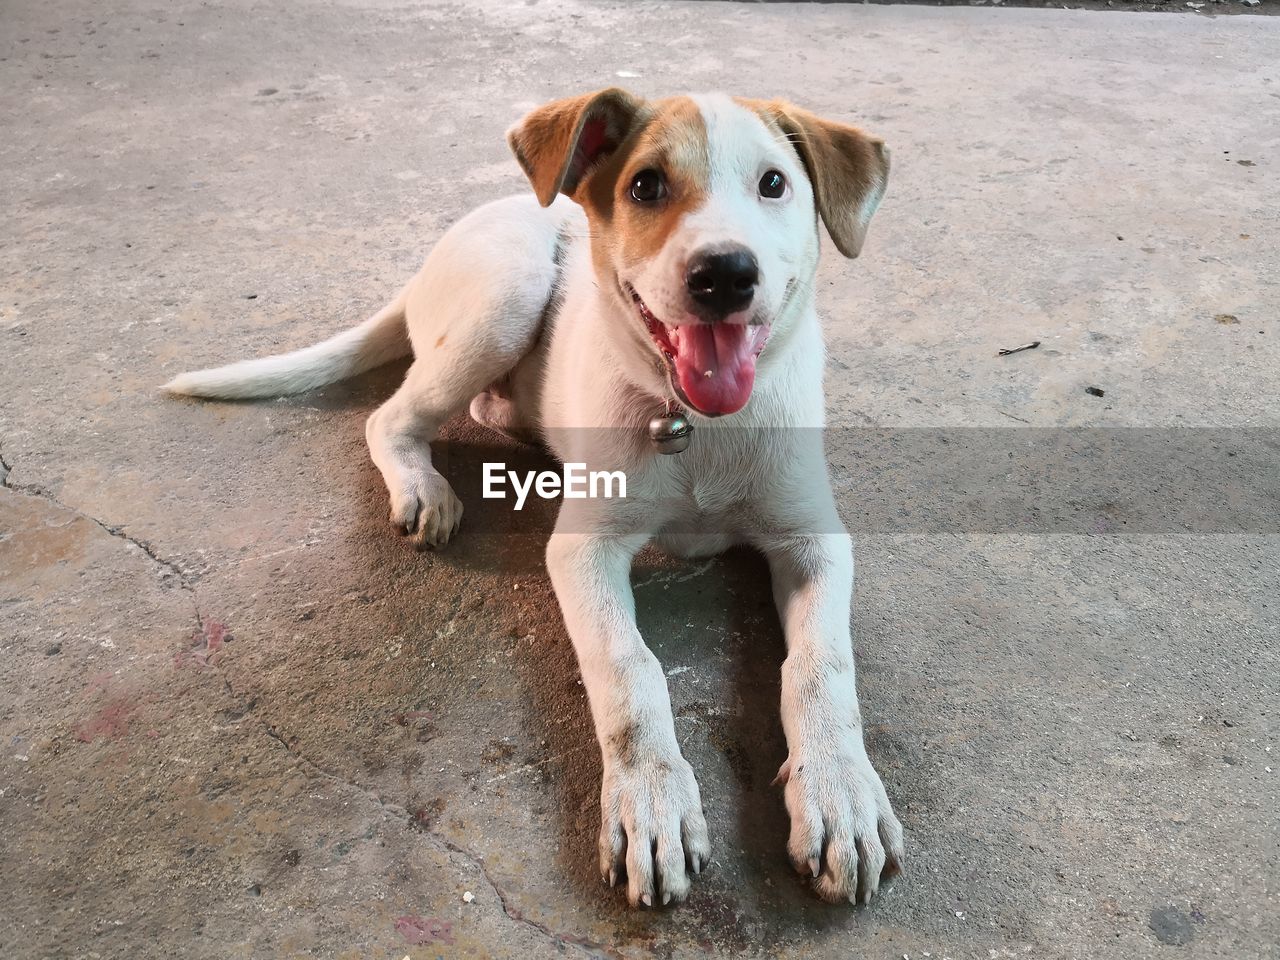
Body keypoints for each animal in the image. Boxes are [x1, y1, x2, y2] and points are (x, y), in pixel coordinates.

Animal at [170, 90, 906, 911]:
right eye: (646, 186)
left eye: (774, 184)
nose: (725, 274)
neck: (696, 424)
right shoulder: (585, 550)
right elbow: (629, 669)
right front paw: (651, 801)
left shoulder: (813, 541)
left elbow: (823, 667)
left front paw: (841, 793)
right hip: (506, 296)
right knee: (388, 417)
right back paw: (423, 485)